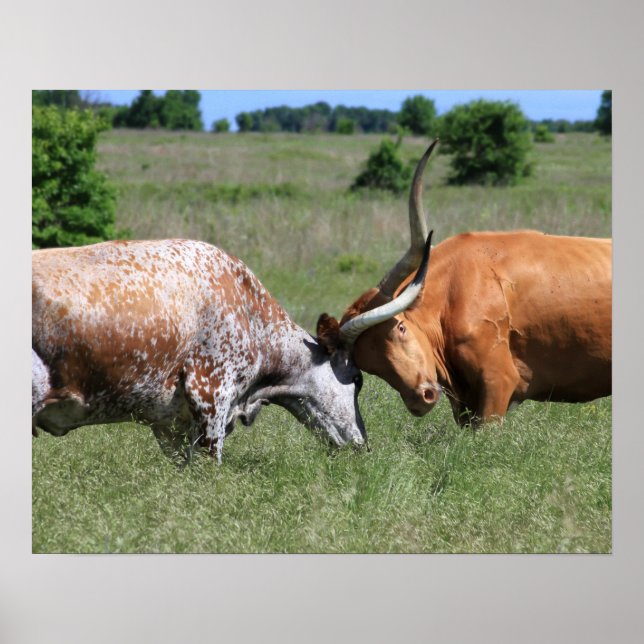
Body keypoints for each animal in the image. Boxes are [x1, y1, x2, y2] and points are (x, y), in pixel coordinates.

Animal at [318, 140, 612, 426]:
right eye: (369, 365)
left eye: (400, 327)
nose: (421, 398)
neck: (452, 292)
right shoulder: (463, 402)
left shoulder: (497, 384)